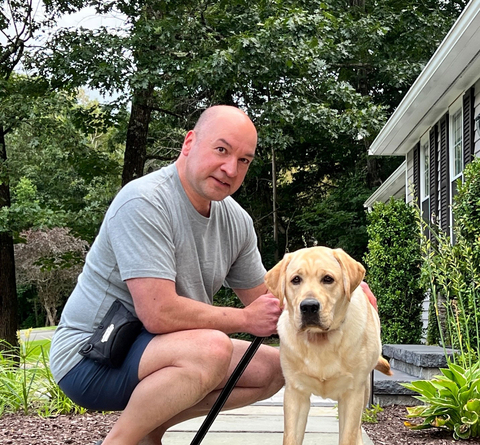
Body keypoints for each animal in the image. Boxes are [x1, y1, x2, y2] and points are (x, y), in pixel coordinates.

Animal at [264, 246, 392, 444]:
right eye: (296, 279)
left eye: (328, 279)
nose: (309, 307)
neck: (320, 340)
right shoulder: (295, 392)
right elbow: (291, 436)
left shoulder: (352, 394)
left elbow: (348, 436)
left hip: (363, 393)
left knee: (356, 430)